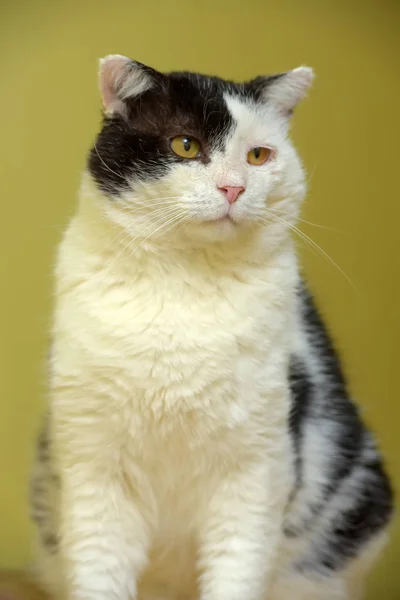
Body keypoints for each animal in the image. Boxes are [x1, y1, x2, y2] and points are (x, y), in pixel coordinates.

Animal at [30, 52, 394, 600]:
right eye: (186, 145)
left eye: (259, 156)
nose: (233, 188)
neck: (185, 287)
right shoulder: (95, 467)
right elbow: (99, 570)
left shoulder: (256, 468)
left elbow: (237, 568)